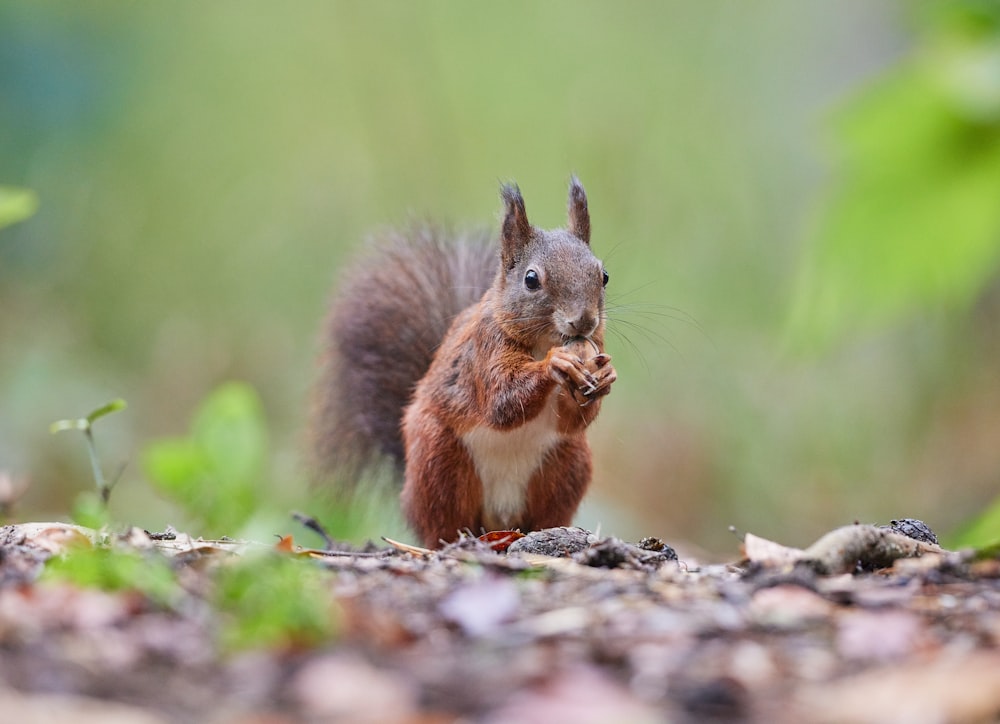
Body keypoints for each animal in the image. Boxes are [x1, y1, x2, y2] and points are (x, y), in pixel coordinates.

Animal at [308, 178, 612, 544]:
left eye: (604, 275)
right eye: (531, 279)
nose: (584, 321)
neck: (544, 342)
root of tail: (499, 519)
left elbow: (572, 420)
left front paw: (606, 375)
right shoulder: (483, 351)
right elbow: (502, 401)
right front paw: (555, 364)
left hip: (567, 464)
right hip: (439, 461)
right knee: (442, 521)